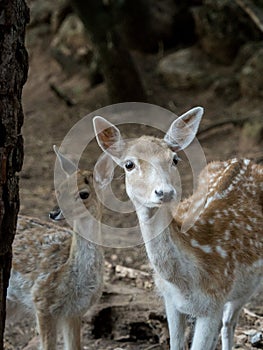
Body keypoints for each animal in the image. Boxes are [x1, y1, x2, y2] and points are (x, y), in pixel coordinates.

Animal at [6, 147, 105, 350]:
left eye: (84, 194)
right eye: (59, 190)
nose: (53, 213)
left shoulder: (75, 311)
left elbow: (75, 347)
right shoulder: (41, 301)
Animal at [93, 107, 263, 350]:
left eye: (174, 159)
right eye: (129, 164)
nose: (164, 191)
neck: (184, 282)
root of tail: (245, 159)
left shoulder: (215, 299)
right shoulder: (170, 300)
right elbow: (176, 343)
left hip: (248, 286)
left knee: (229, 323)